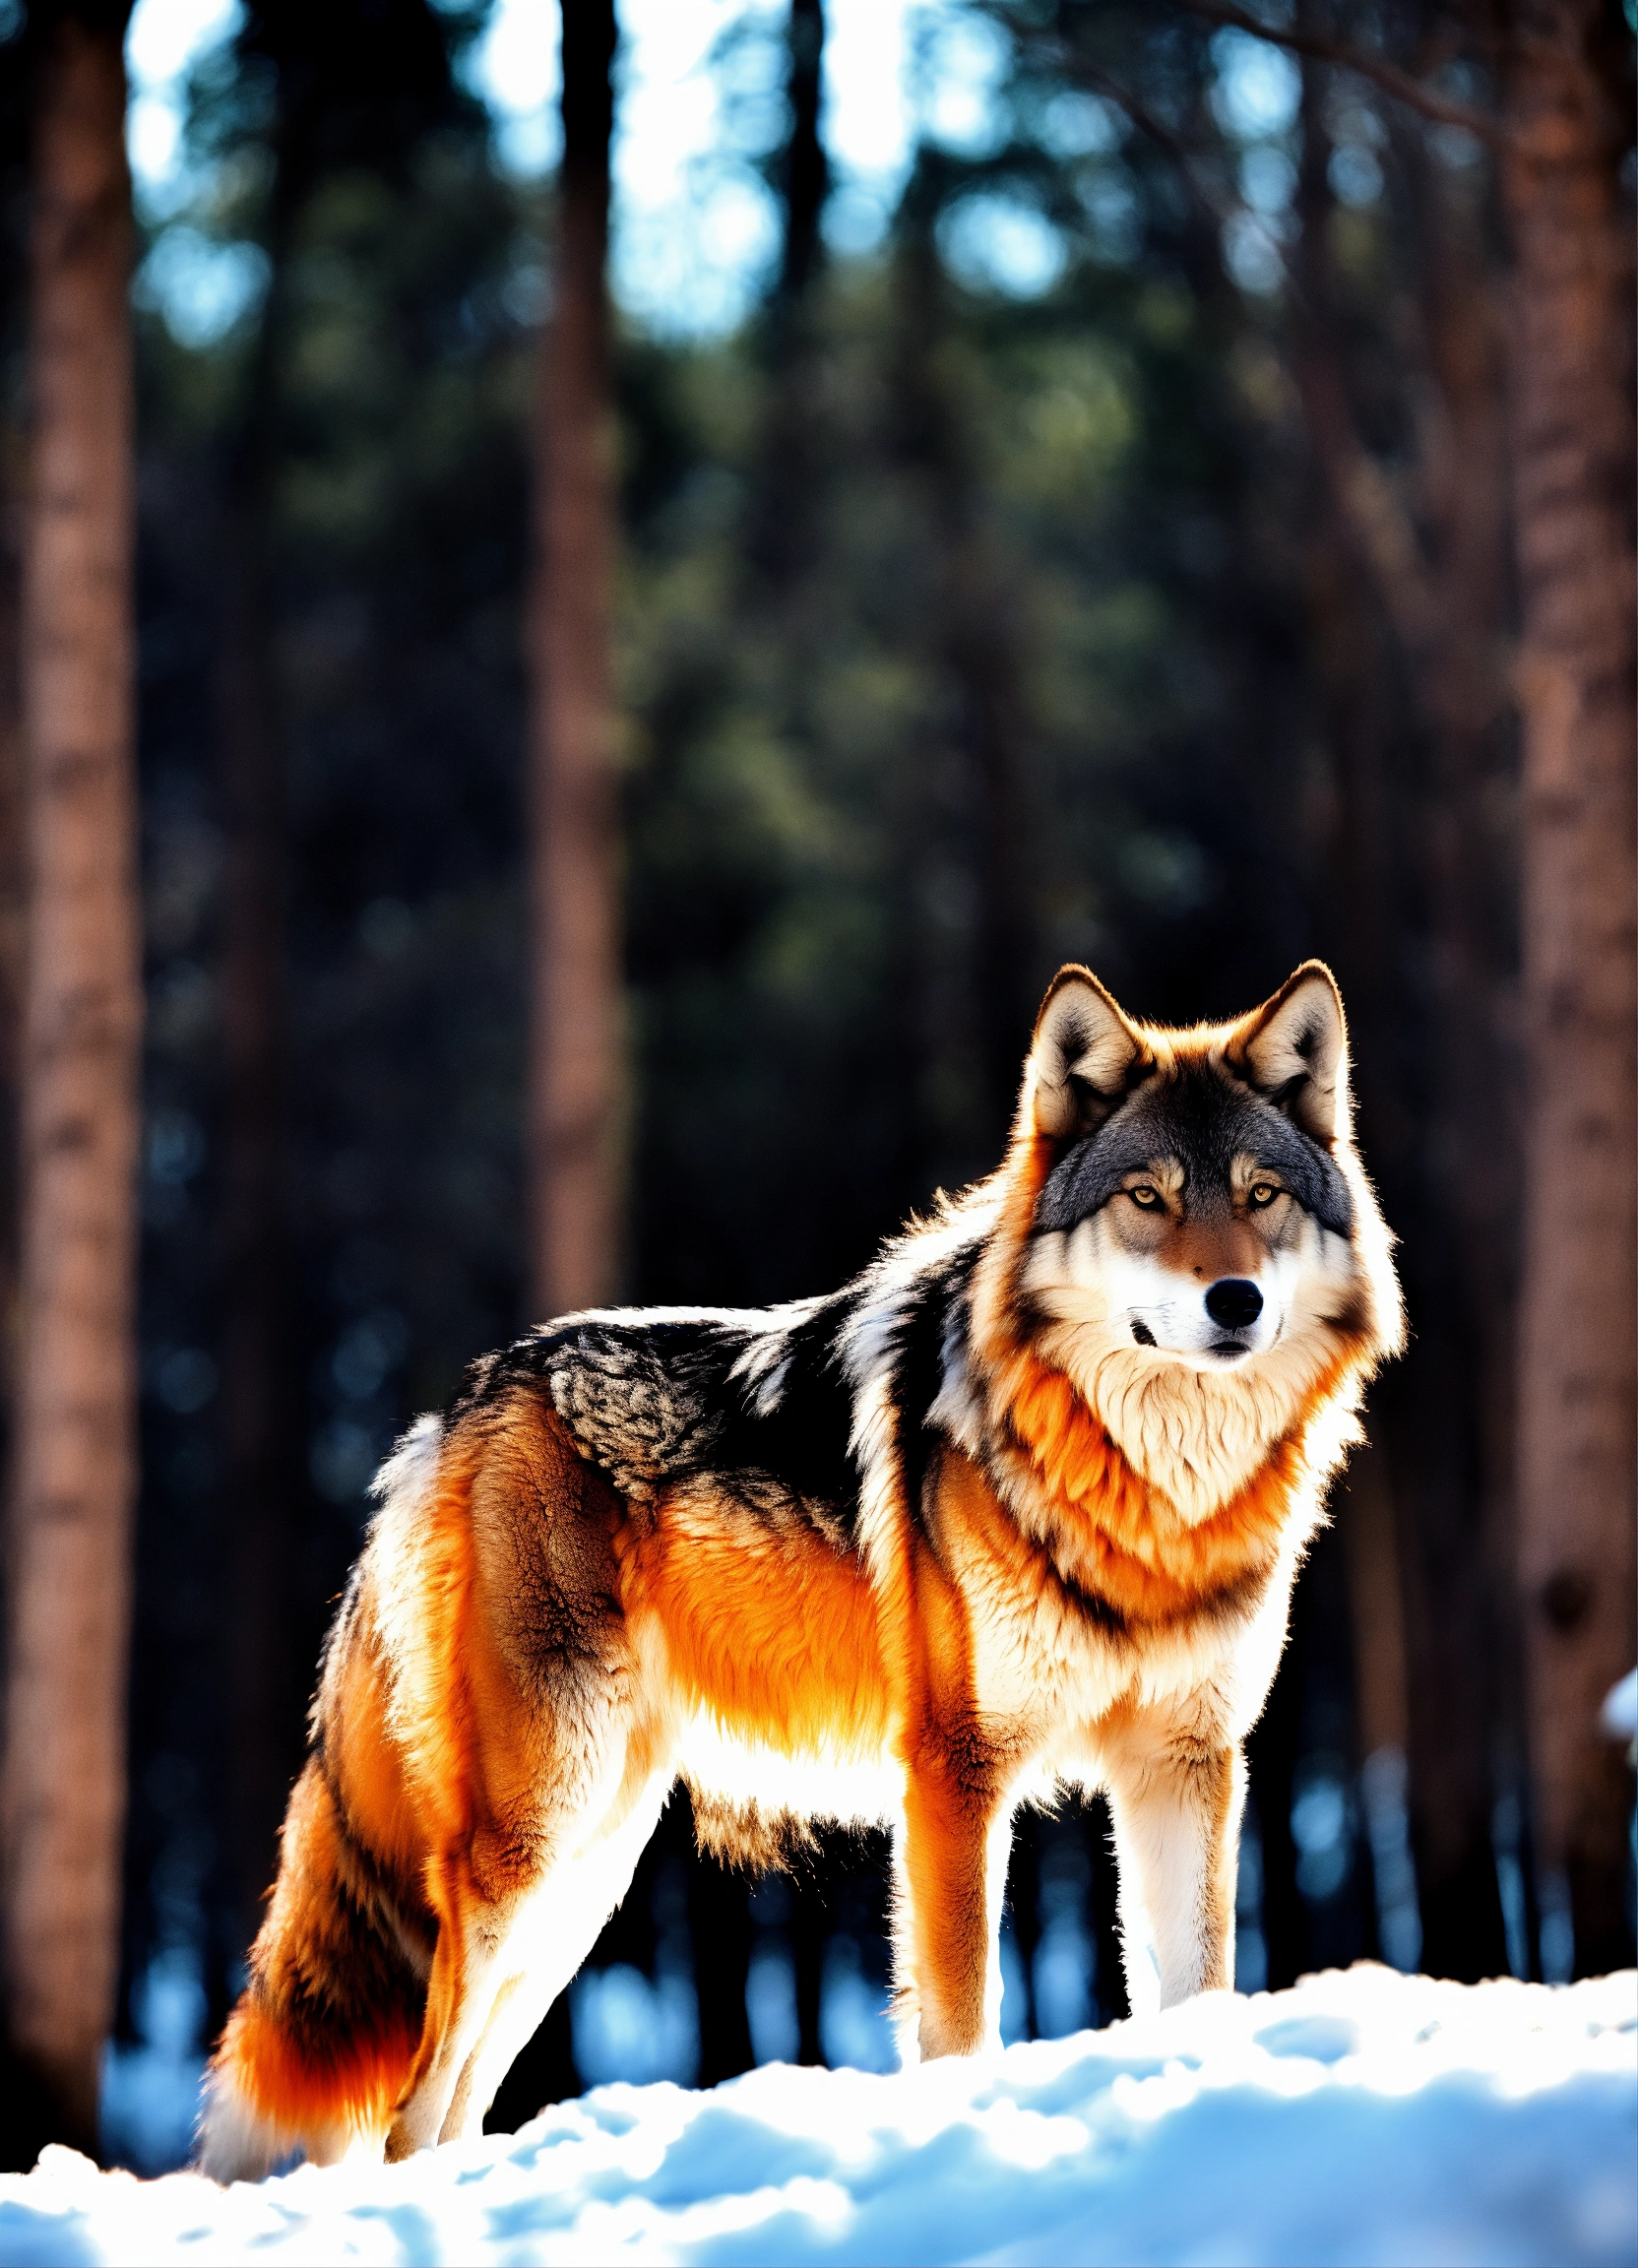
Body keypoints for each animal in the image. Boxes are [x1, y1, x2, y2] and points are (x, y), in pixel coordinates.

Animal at [197, 959, 1401, 2180]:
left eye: (1259, 1196)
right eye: (1147, 1200)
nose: (1233, 1301)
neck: (1150, 1506)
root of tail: (460, 1405)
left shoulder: (1183, 1766)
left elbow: (1196, 1989)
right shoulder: (955, 1776)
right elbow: (959, 2017)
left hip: (585, 1881)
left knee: (450, 2103)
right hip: (532, 1847)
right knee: (408, 2109)